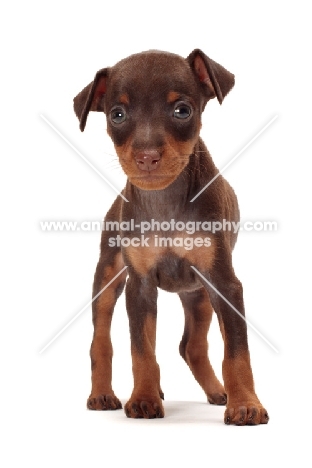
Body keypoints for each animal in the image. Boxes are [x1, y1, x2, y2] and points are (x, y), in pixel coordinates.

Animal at [73, 49, 268, 426]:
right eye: (117, 115)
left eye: (182, 110)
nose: (147, 157)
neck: (165, 202)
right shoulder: (139, 286)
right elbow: (141, 350)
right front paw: (144, 398)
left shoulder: (224, 283)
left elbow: (237, 351)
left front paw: (245, 405)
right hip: (108, 277)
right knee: (100, 340)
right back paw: (102, 394)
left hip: (200, 295)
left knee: (191, 346)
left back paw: (218, 391)